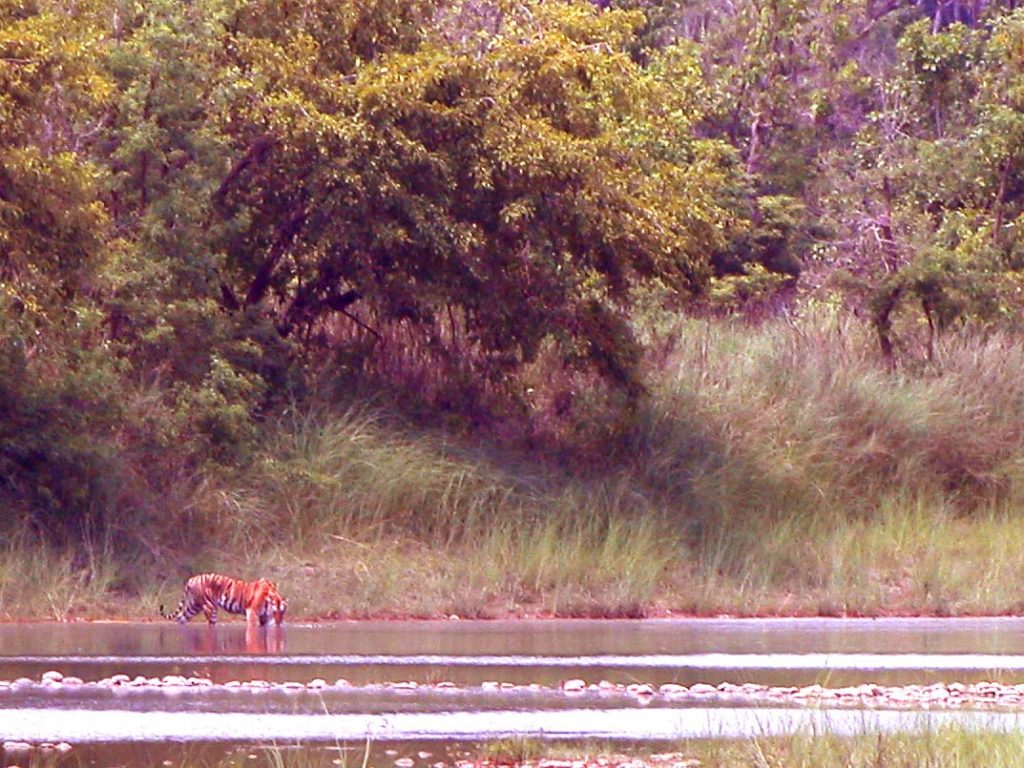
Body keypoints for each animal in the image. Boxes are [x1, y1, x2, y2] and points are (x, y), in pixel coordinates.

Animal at [159, 573, 288, 626]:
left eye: (282, 613)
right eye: (275, 612)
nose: (279, 622)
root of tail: (191, 580)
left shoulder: (264, 617)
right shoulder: (252, 612)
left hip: (194, 606)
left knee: (181, 618)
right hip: (209, 608)